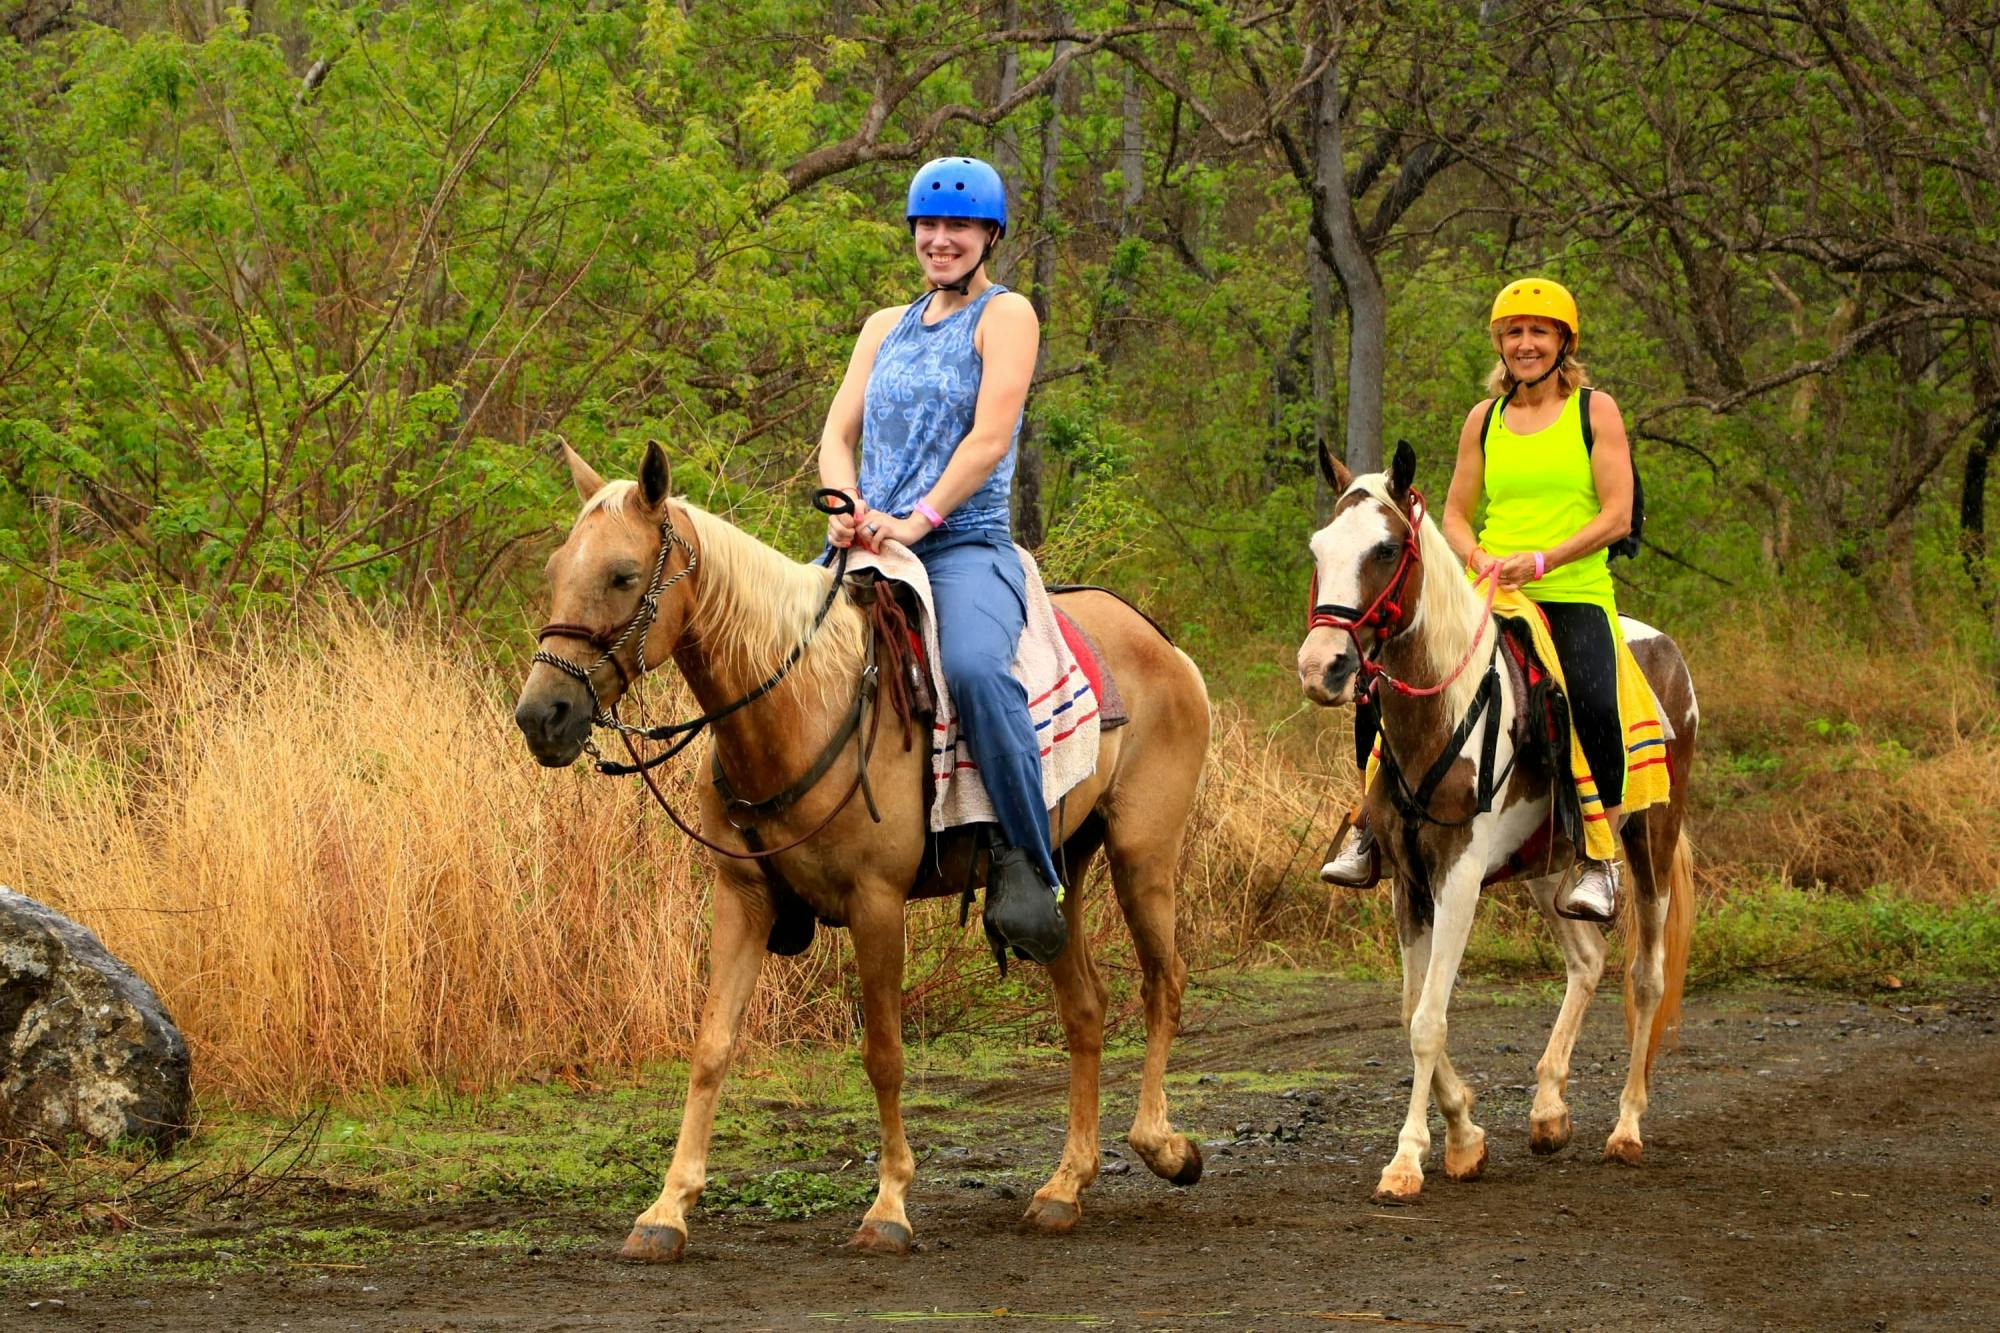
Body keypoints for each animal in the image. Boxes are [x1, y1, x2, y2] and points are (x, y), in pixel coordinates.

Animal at [508, 444, 1208, 1256]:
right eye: (556, 568)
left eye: (623, 574)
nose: (541, 715)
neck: (803, 705)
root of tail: (1161, 641)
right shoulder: (742, 898)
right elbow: (712, 1046)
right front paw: (666, 1209)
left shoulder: (877, 904)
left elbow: (884, 1054)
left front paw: (889, 1205)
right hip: (1060, 867)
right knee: (1086, 1009)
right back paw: (1065, 1185)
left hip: (1142, 855)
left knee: (1164, 982)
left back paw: (1164, 1145)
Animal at [1296, 444, 1704, 1200]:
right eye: (1319, 548)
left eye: (1386, 548)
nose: (1322, 667)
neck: (1448, 707)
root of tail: (1663, 648)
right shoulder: (1408, 881)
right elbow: (1411, 1007)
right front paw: (1465, 1136)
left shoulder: (1457, 877)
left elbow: (1429, 1018)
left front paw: (1409, 1159)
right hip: (1549, 865)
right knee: (1587, 958)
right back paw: (1548, 1110)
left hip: (1650, 839)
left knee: (1646, 976)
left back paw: (1626, 1128)